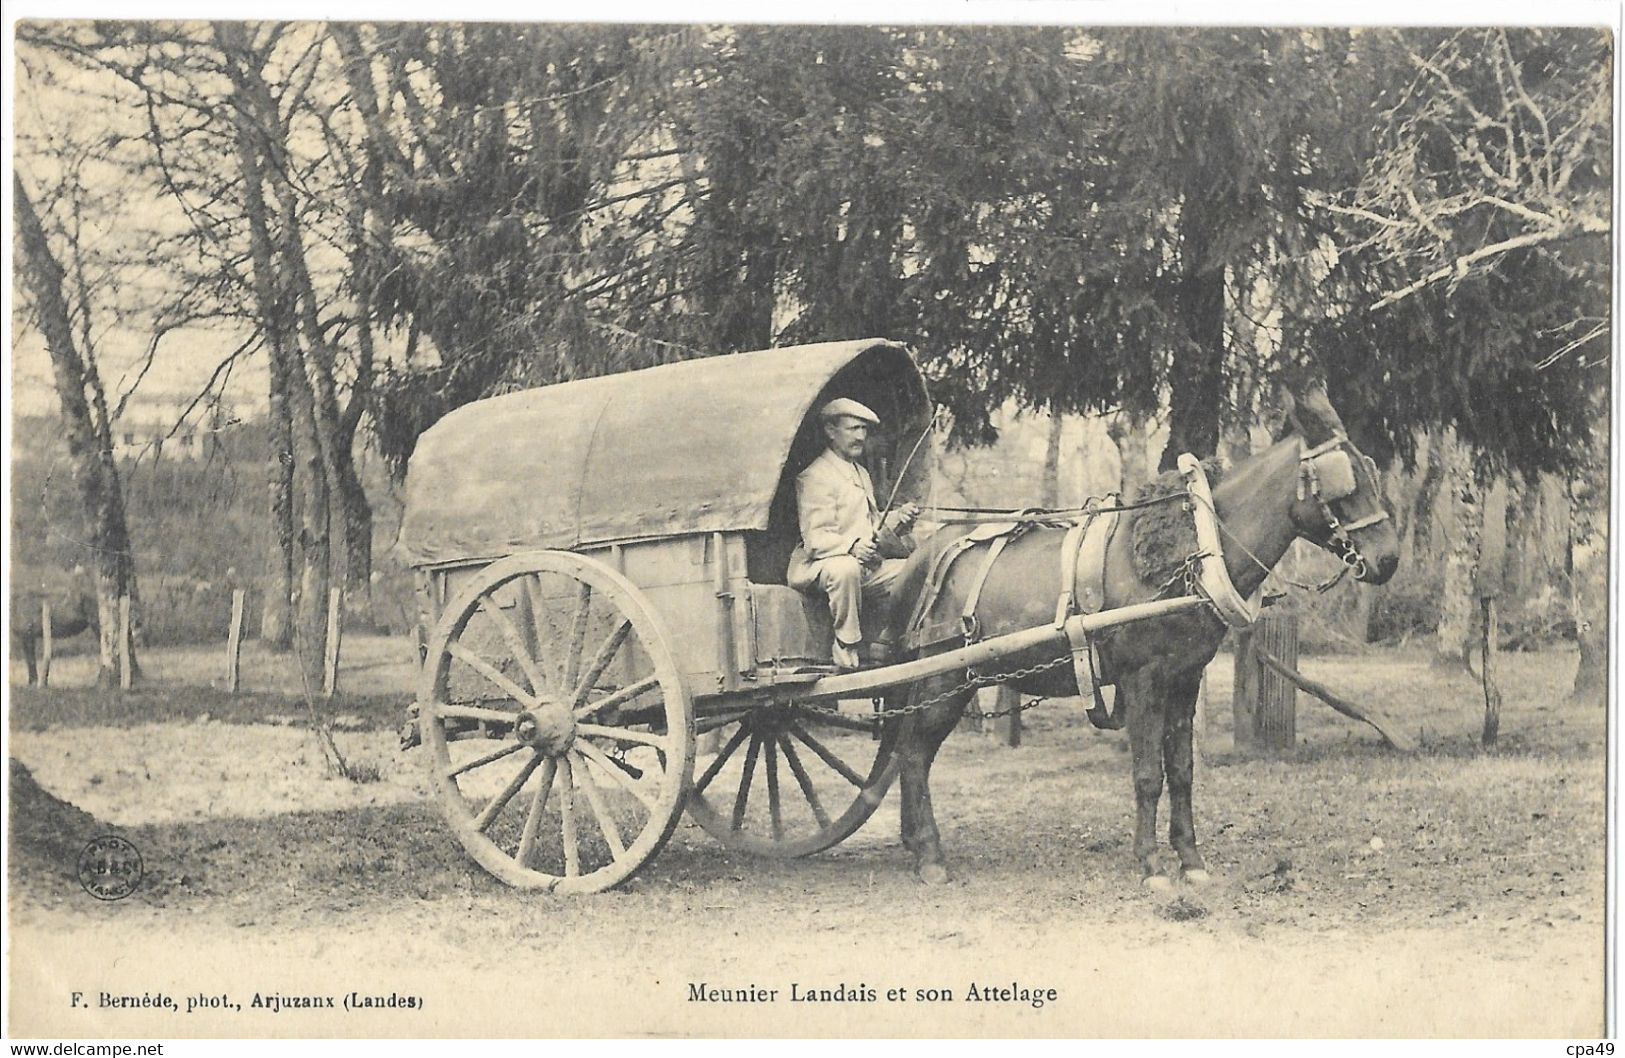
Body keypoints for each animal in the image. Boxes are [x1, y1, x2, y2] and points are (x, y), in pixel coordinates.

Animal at [884, 385, 1404, 890]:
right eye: (1345, 482)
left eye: (1370, 471)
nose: (1389, 559)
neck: (1191, 553)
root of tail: (921, 557)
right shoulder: (1142, 681)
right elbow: (1148, 774)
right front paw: (1151, 864)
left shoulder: (1184, 680)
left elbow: (1182, 770)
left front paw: (1190, 859)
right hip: (943, 682)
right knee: (913, 754)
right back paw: (929, 854)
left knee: (908, 751)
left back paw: (914, 843)